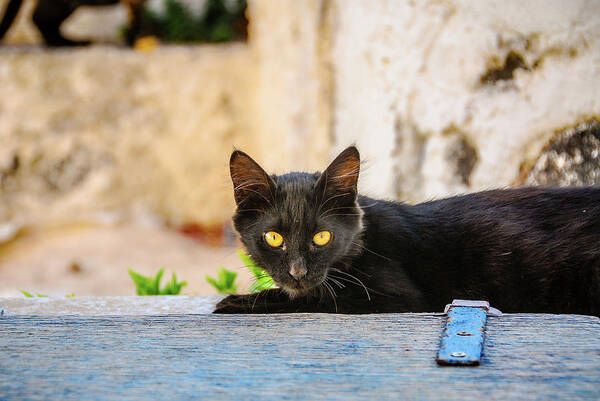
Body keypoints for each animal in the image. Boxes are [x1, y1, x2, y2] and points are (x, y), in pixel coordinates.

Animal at [216, 145, 600, 314]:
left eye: (321, 237)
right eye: (273, 237)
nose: (297, 272)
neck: (363, 240)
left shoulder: (401, 297)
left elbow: (320, 298)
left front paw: (240, 300)